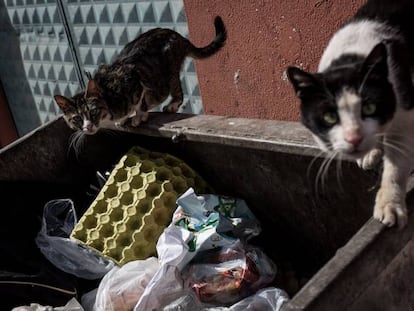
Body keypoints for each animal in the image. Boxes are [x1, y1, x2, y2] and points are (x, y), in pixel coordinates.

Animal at [54, 15, 226, 135]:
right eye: (77, 118)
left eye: (93, 111)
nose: (88, 127)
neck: (109, 100)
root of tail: (175, 34)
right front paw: (124, 119)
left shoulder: (135, 79)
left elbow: (140, 102)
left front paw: (138, 116)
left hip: (170, 68)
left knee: (177, 91)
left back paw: (171, 105)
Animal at [286, 0, 414, 229]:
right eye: (329, 117)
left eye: (369, 108)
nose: (354, 138)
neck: (350, 56)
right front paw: (372, 152)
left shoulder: (404, 110)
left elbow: (396, 168)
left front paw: (390, 206)